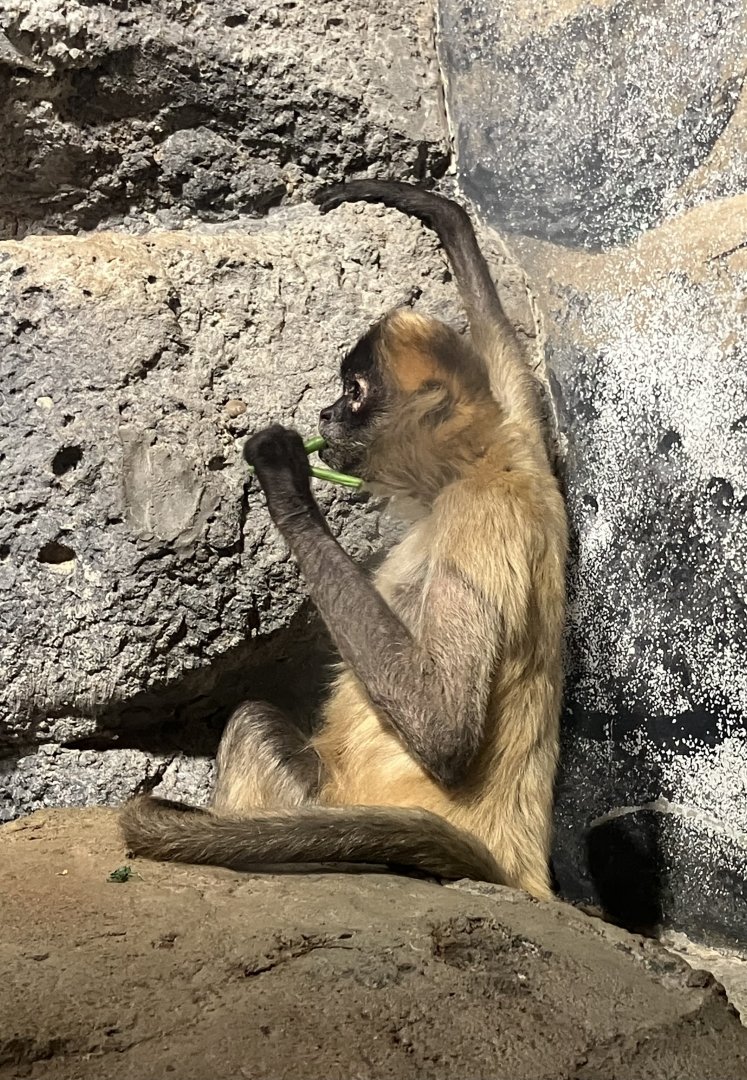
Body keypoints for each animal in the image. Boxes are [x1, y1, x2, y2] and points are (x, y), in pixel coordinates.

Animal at [120, 180, 568, 900]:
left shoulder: (478, 513)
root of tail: (517, 865)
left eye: (351, 392)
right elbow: (512, 376)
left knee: (253, 722)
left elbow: (444, 731)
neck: (476, 467)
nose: (326, 412)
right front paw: (434, 209)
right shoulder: (524, 448)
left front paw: (287, 485)